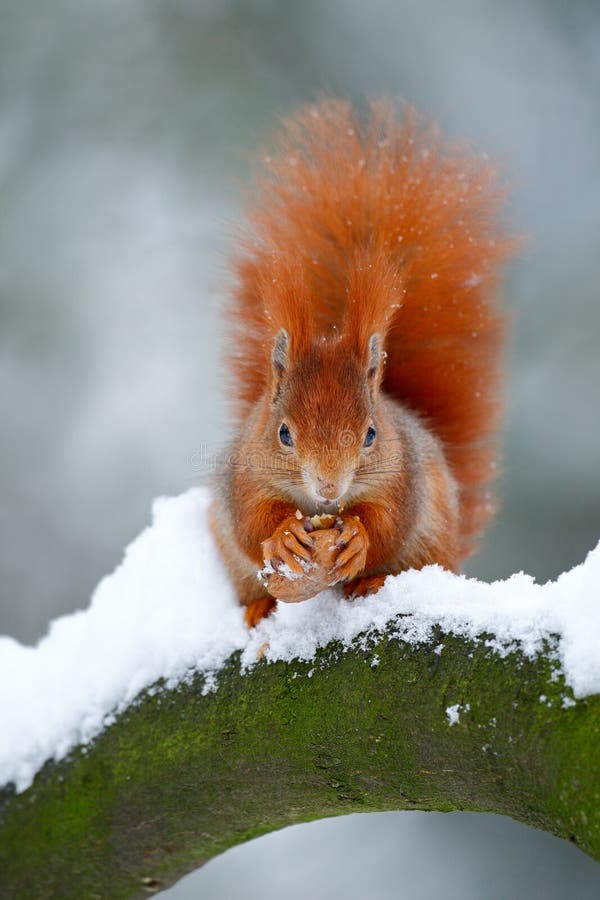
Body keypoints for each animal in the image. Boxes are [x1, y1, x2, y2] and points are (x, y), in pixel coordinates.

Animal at [209, 98, 517, 627]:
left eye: (371, 434)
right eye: (283, 434)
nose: (330, 488)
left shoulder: (402, 476)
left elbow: (389, 522)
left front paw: (358, 538)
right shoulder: (244, 475)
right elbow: (251, 522)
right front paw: (283, 536)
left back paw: (371, 581)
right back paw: (260, 606)